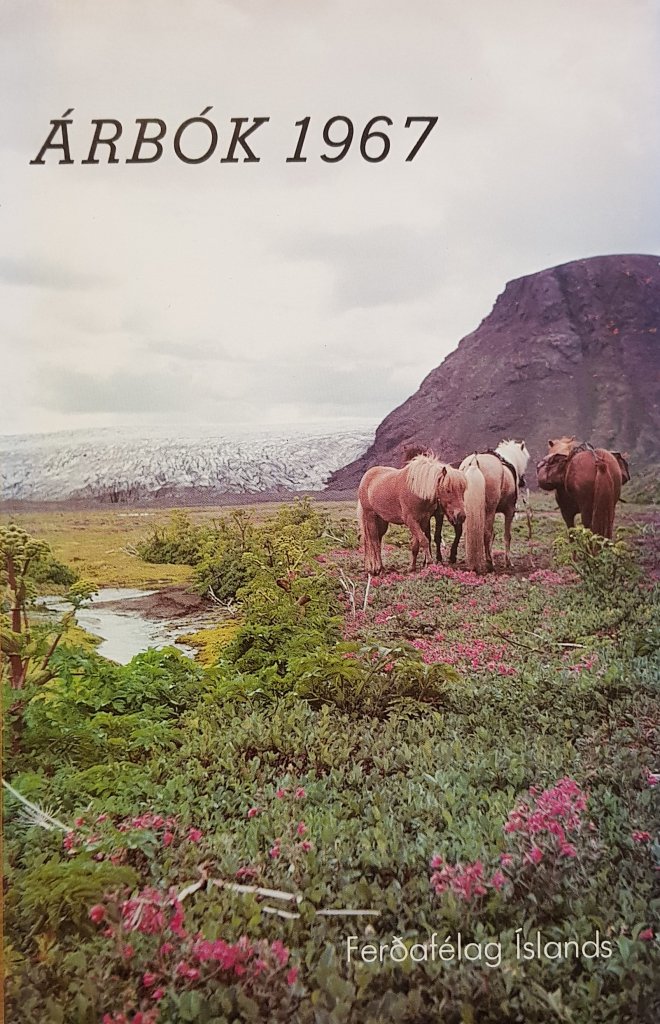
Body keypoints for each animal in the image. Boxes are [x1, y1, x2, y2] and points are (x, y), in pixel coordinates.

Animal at [435, 438, 532, 573]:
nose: (523, 481)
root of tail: (474, 463)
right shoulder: (509, 511)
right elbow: (506, 536)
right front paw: (508, 562)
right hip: (490, 509)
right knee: (486, 533)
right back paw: (490, 564)